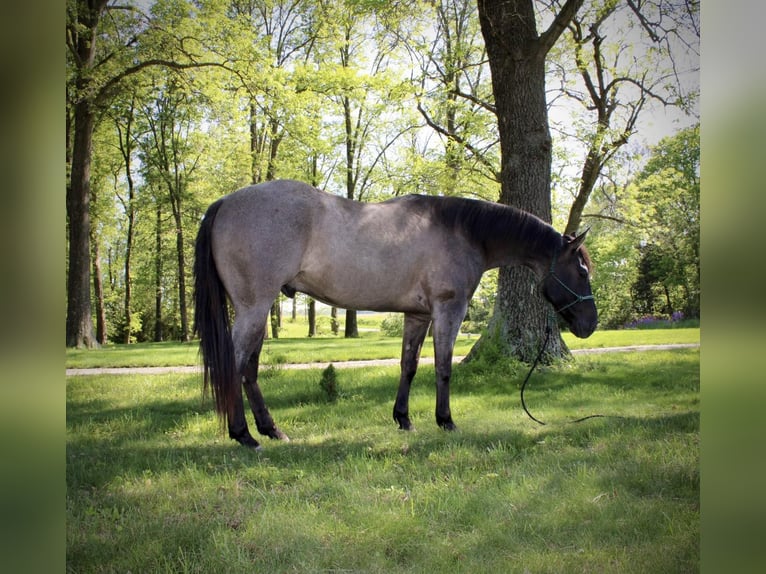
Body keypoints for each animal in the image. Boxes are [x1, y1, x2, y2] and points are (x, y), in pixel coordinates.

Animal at [193, 179, 597, 448]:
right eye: (582, 271)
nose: (589, 324)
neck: (463, 232)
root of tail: (226, 201)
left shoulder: (417, 315)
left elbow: (409, 365)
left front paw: (404, 419)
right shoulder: (448, 309)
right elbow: (444, 366)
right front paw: (445, 421)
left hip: (259, 311)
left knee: (249, 368)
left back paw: (270, 430)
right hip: (254, 307)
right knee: (236, 364)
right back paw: (244, 436)